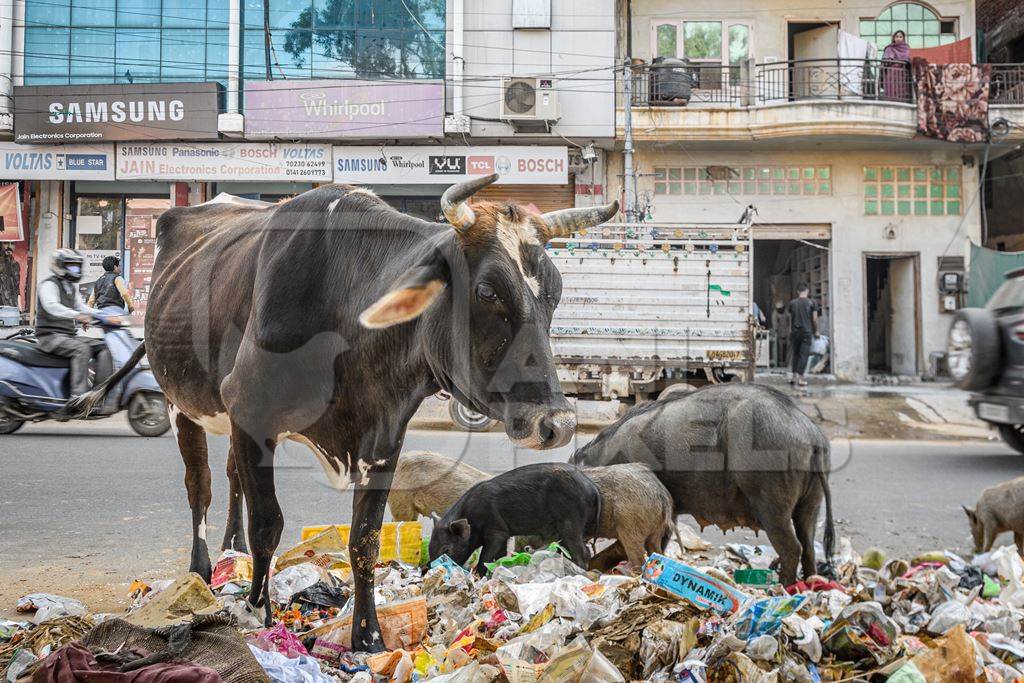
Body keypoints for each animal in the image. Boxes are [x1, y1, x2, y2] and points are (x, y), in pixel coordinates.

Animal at [428, 462, 602, 573]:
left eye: (446, 550)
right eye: (430, 548)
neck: (472, 519)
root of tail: (592, 488)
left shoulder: (497, 531)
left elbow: (485, 557)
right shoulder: (505, 535)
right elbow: (500, 556)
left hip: (571, 521)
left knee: (583, 552)